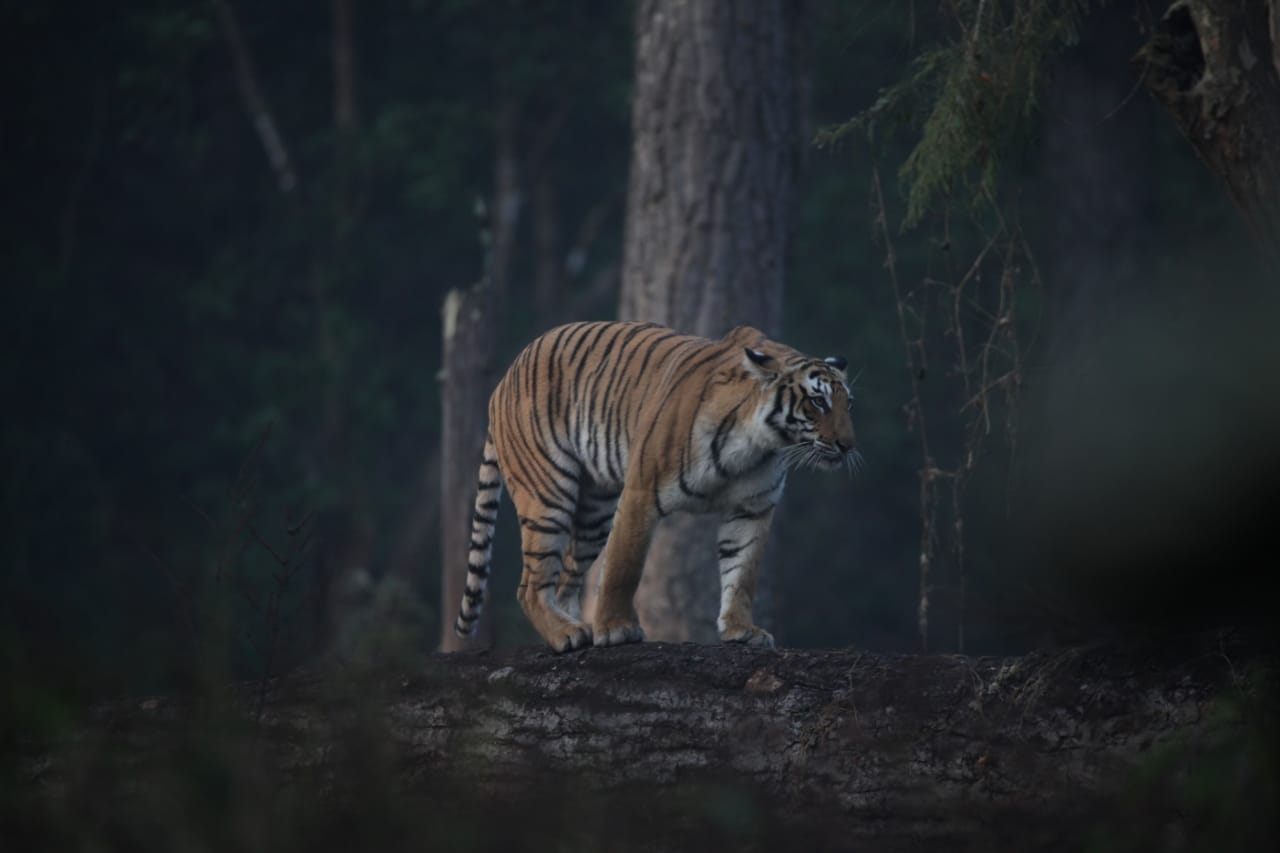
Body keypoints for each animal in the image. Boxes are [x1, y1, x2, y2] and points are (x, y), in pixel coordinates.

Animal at [452, 321, 858, 653]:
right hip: (549, 493)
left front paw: (742, 630)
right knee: (531, 586)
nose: (847, 445)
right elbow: (623, 566)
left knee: (566, 579)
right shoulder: (641, 492)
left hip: (594, 511)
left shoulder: (752, 508)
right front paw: (616, 629)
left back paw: (578, 627)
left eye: (847, 403)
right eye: (818, 401)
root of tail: (504, 379)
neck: (757, 443)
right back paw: (566, 635)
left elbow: (743, 572)